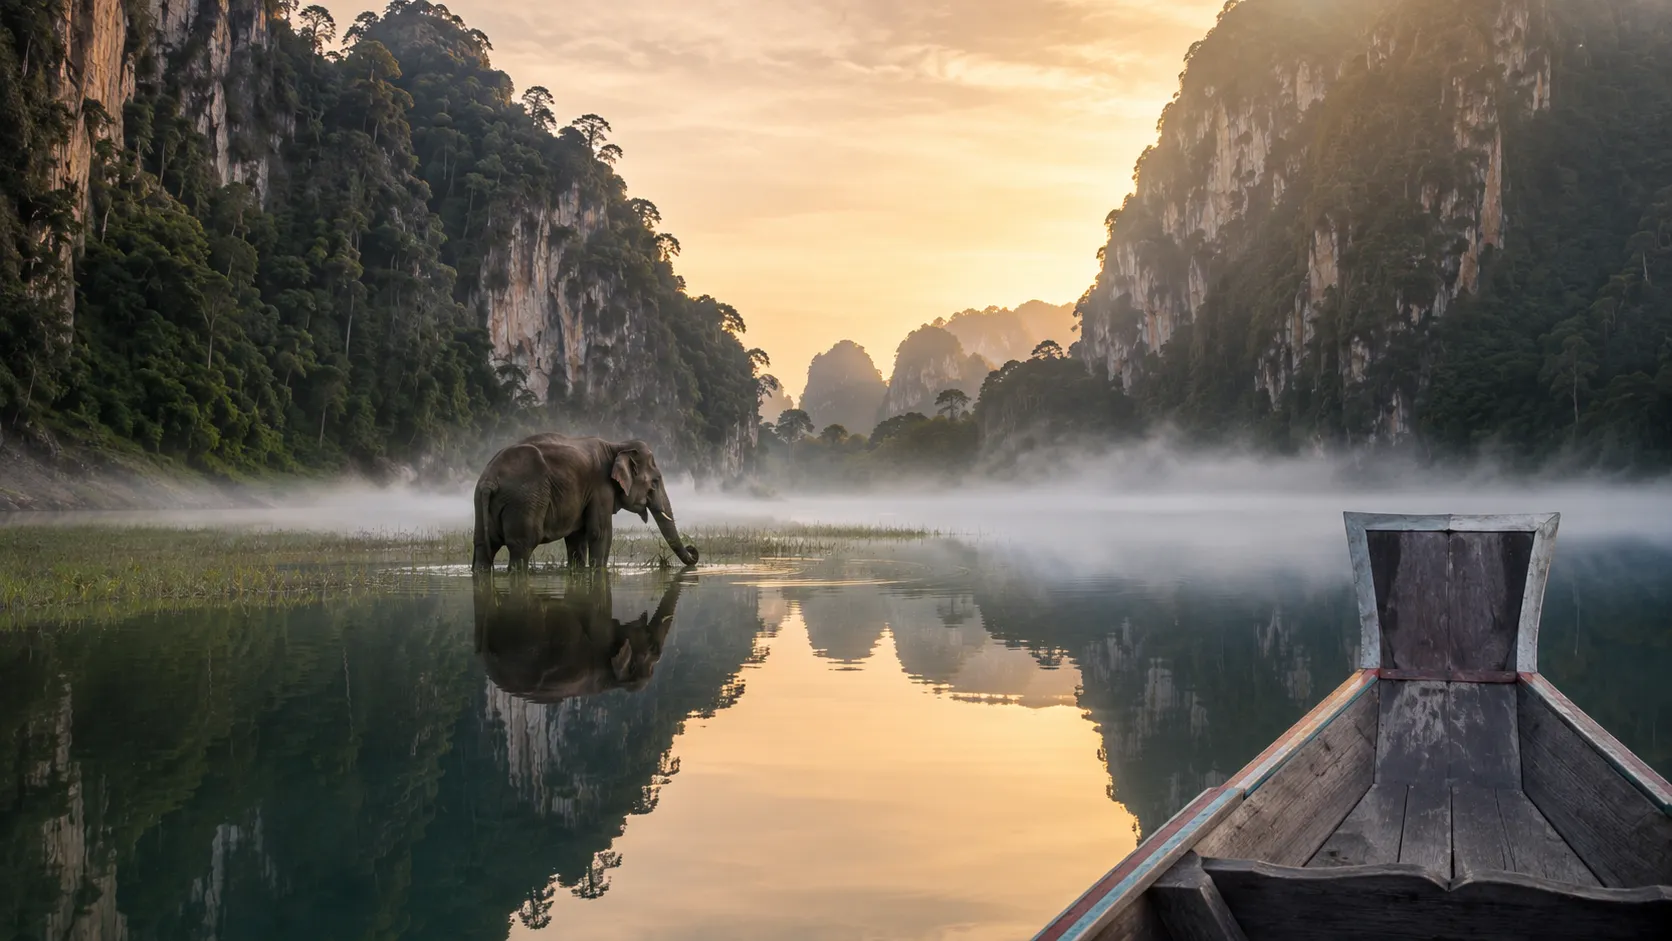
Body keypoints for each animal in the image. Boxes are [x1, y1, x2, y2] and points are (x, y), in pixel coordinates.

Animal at [471, 434, 699, 571]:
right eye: (655, 481)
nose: (693, 549)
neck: (616, 445)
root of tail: (489, 480)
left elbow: (577, 539)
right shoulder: (601, 488)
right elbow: (600, 533)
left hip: (483, 503)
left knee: (483, 547)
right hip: (524, 502)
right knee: (522, 547)